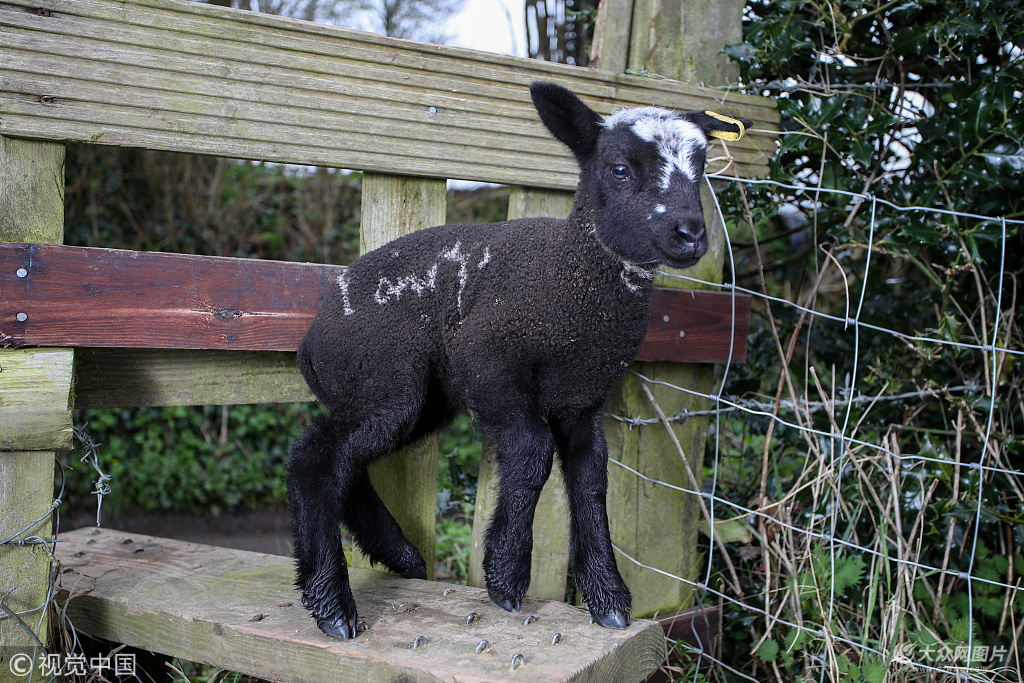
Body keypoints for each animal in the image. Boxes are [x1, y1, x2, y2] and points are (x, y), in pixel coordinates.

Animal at [288, 81, 753, 643]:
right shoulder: (486, 360)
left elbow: (591, 480)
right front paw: (506, 574)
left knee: (347, 463)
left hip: (417, 396)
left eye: (701, 167)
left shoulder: (583, 396)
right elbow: (532, 455)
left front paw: (608, 598)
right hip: (384, 376)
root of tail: (311, 341)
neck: (568, 280)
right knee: (314, 458)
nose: (690, 233)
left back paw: (400, 558)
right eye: (619, 168)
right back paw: (333, 606)